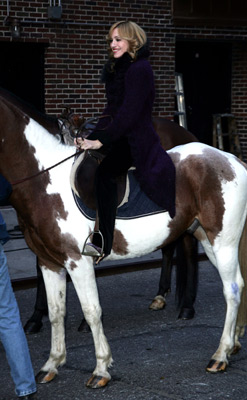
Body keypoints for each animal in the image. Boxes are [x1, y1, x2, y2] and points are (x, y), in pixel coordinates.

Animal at [0, 92, 247, 390]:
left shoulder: (77, 261)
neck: (46, 181)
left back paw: (219, 355)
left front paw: (100, 369)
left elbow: (92, 311)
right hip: (208, 240)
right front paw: (52, 364)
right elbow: (57, 312)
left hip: (224, 241)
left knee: (232, 289)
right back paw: (232, 344)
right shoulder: (49, 263)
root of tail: (231, 159)